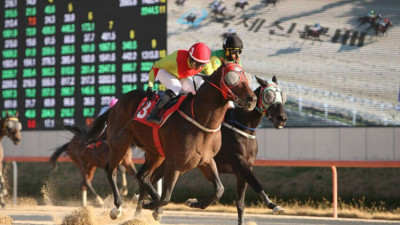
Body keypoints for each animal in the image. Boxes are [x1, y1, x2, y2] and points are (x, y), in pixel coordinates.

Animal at [86, 62, 258, 220]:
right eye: (231, 78)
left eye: (246, 76)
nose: (252, 99)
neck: (200, 120)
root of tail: (118, 103)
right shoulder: (175, 164)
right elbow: (166, 197)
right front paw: (151, 204)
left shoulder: (206, 160)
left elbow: (219, 190)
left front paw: (192, 202)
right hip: (120, 144)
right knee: (112, 171)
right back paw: (118, 207)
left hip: (155, 153)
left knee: (142, 176)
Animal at [134, 76, 288, 225]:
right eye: (268, 95)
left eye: (282, 95)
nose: (282, 118)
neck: (241, 128)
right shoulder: (239, 163)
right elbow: (256, 184)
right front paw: (274, 206)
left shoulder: (242, 170)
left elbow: (240, 203)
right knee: (146, 180)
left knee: (147, 180)